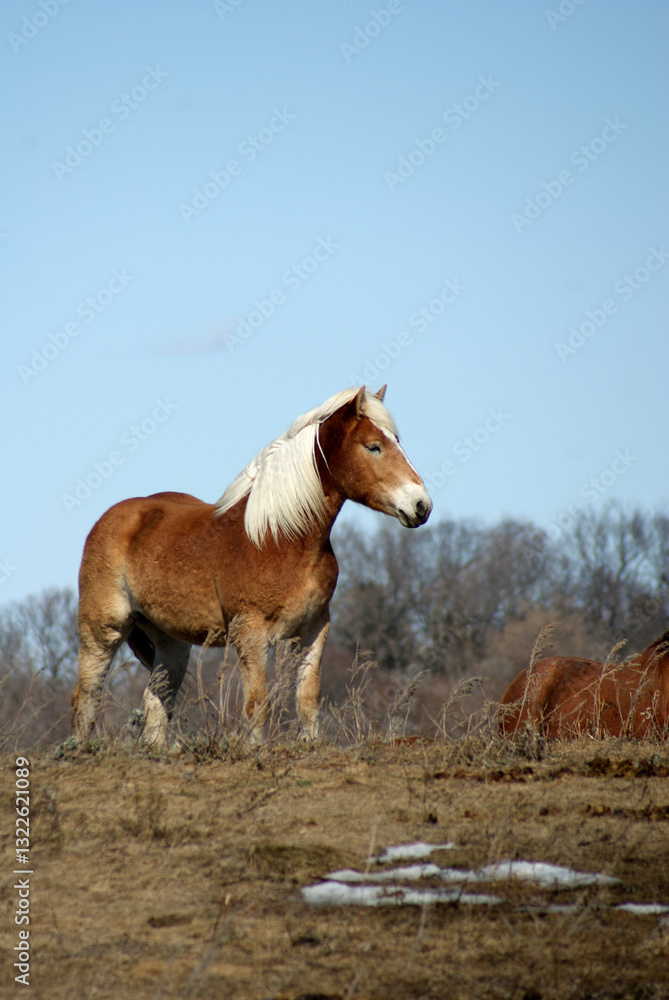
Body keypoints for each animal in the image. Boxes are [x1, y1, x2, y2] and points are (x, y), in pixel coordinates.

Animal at [71, 386, 432, 748]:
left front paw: (310, 745)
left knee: (156, 699)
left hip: (170, 640)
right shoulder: (251, 634)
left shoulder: (315, 627)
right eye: (373, 446)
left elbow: (307, 698)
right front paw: (256, 750)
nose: (421, 505)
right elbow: (258, 703)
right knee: (86, 696)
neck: (279, 538)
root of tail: (111, 519)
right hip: (102, 631)